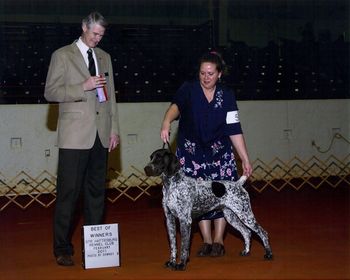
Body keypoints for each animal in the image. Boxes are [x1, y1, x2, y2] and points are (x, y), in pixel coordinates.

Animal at [144, 148, 272, 270]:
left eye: (159, 158)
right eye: (151, 158)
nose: (146, 169)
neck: (171, 186)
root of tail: (238, 184)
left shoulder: (185, 220)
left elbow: (184, 247)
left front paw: (182, 264)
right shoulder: (169, 220)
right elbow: (173, 246)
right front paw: (172, 262)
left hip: (245, 214)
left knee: (263, 233)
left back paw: (268, 254)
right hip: (231, 217)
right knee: (247, 232)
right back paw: (246, 251)